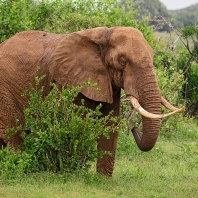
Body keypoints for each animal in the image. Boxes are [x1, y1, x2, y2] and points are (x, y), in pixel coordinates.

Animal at [0, 26, 184, 176]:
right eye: (122, 61)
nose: (134, 127)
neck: (104, 34)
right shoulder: (68, 82)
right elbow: (75, 121)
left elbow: (110, 124)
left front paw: (103, 180)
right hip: (4, 90)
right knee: (15, 129)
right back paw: (19, 167)